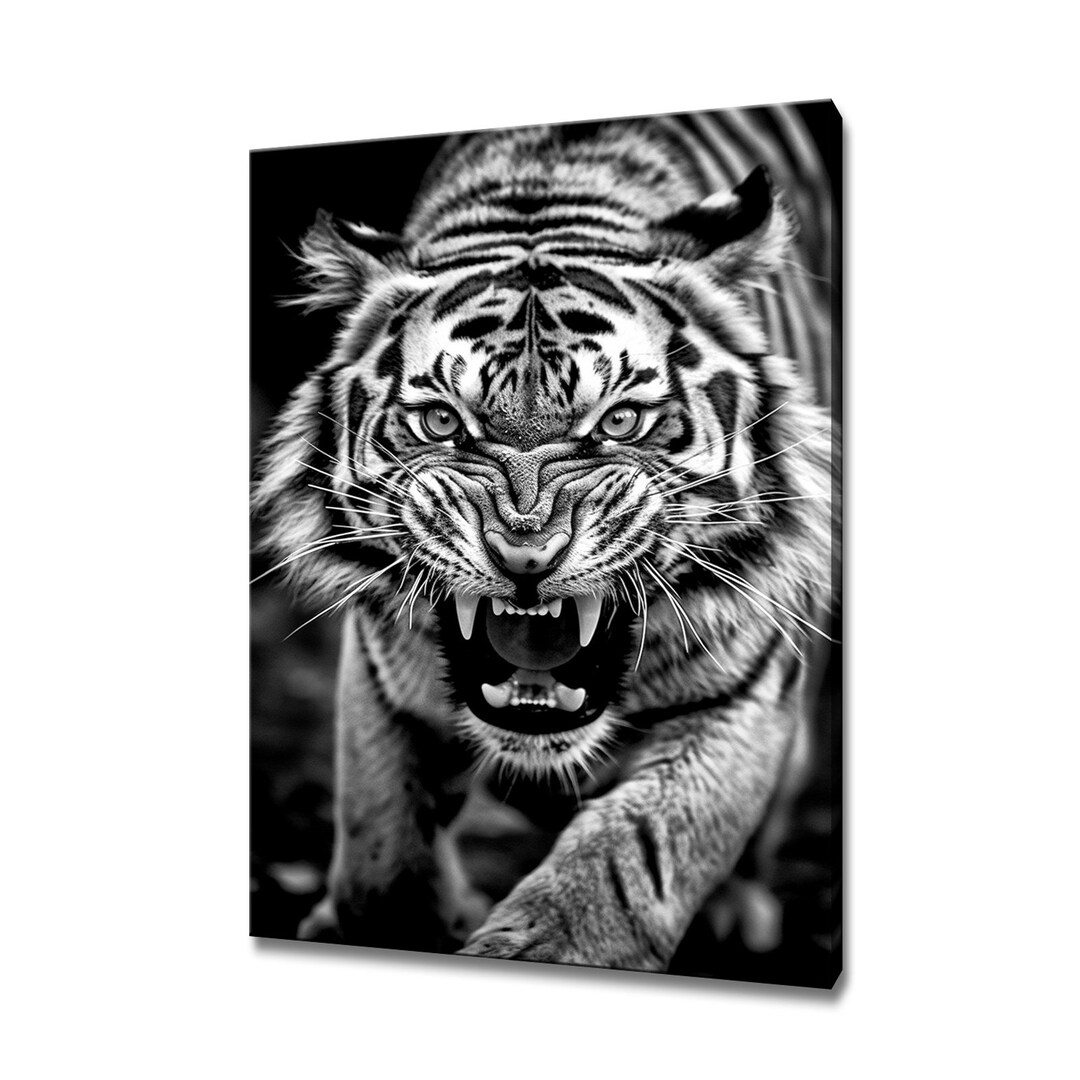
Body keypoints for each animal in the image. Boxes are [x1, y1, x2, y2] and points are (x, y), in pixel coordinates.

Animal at [252, 105, 838, 975]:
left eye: (621, 421)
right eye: (441, 421)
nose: (525, 555)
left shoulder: (742, 689)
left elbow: (635, 853)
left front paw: (544, 942)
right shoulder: (382, 670)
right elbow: (380, 836)